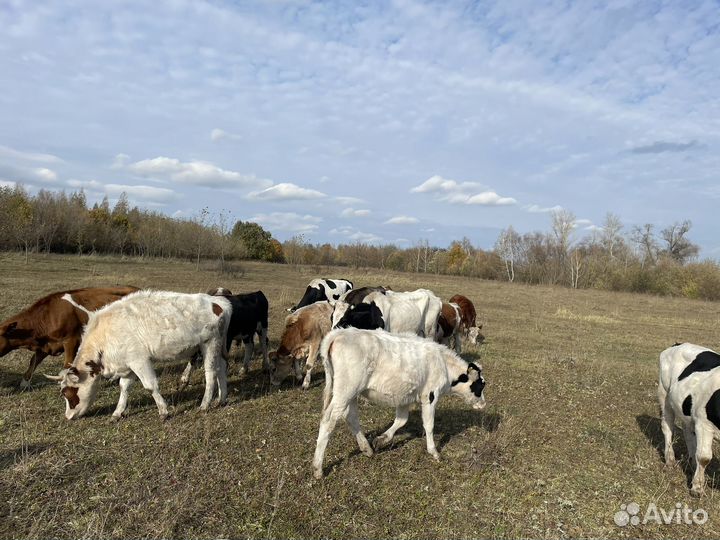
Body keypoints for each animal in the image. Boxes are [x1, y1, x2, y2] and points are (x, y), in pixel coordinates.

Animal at [48, 290, 231, 420]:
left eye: (68, 393)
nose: (68, 417)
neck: (106, 334)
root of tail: (217, 302)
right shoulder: (127, 364)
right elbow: (124, 387)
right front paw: (117, 412)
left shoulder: (139, 361)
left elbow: (150, 385)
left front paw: (164, 411)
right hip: (218, 346)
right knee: (222, 367)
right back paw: (221, 399)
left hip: (210, 343)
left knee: (211, 373)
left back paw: (205, 404)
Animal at [312, 328, 487, 478]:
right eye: (480, 385)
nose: (483, 404)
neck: (443, 363)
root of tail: (340, 333)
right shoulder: (430, 396)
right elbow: (429, 425)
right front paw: (434, 452)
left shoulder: (404, 398)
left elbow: (401, 420)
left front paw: (382, 439)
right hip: (345, 390)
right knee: (329, 420)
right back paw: (318, 467)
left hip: (351, 393)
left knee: (351, 417)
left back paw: (366, 448)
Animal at [658, 342, 720, 496]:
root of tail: (678, 344)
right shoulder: (704, 424)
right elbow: (704, 457)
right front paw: (697, 488)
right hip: (663, 393)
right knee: (667, 427)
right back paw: (670, 459)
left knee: (687, 432)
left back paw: (692, 463)